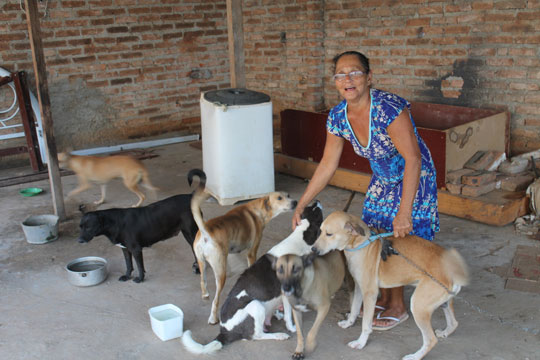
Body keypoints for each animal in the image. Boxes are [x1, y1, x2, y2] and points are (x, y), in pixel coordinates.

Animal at [78, 167, 207, 282]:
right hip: (186, 234)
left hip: (191, 233)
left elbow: (140, 266)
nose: (79, 241)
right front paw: (127, 276)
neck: (115, 222)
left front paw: (140, 279)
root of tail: (190, 197)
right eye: (80, 227)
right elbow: (129, 264)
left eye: (89, 227)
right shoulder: (125, 249)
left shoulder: (136, 249)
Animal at [181, 201, 324, 356]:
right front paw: (291, 328)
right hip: (256, 305)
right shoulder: (286, 293)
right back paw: (279, 335)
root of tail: (224, 331)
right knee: (256, 335)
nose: (316, 201)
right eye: (317, 214)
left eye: (309, 209)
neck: (300, 239)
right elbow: (289, 315)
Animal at [190, 171, 298, 324]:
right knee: (216, 300)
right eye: (279, 198)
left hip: (201, 262)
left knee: (202, 281)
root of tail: (205, 231)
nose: (295, 202)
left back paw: (205, 294)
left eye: (288, 195)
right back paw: (213, 318)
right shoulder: (252, 252)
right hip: (220, 273)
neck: (259, 209)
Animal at [310, 211, 470, 360]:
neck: (360, 243)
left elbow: (366, 325)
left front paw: (360, 342)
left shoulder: (370, 293)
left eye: (329, 234)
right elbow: (354, 309)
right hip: (443, 302)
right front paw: (349, 323)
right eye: (320, 231)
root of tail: (452, 270)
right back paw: (445, 332)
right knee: (454, 323)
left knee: (431, 340)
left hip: (418, 306)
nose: (313, 250)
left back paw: (414, 356)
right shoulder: (359, 288)